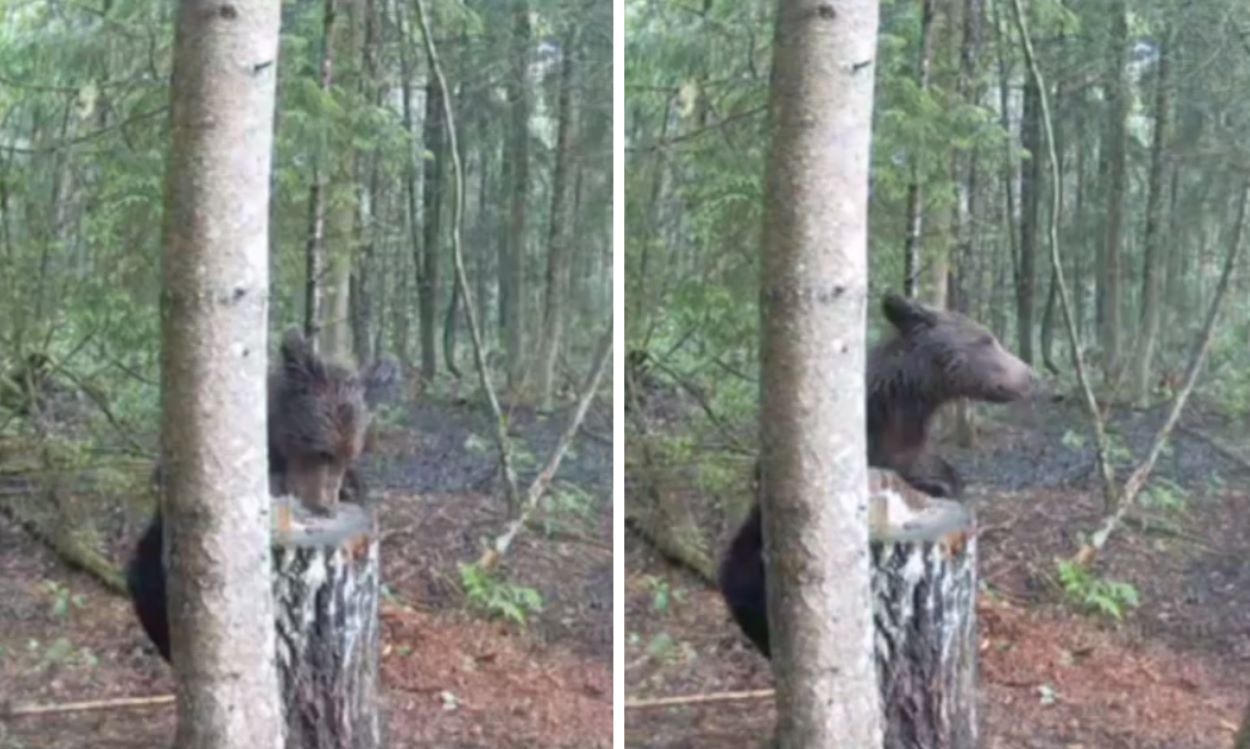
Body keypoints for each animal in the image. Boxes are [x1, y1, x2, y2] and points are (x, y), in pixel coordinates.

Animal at [718, 292, 1034, 657]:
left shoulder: (910, 445)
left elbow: (943, 474)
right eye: (986, 339)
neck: (900, 407)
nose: (1029, 374)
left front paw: (942, 484)